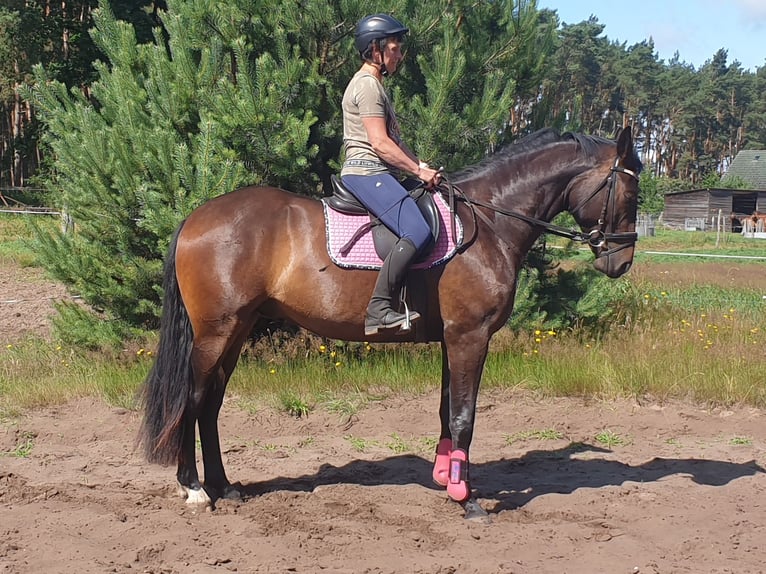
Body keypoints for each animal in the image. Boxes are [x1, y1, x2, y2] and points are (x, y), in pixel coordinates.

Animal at [138, 126, 641, 520]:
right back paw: (195, 489)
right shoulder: (470, 337)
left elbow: (446, 409)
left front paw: (445, 477)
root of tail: (195, 217)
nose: (622, 261)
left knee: (211, 405)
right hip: (217, 331)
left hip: (237, 330)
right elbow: (464, 415)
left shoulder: (452, 339)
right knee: (194, 399)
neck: (491, 219)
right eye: (632, 192)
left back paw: (224, 487)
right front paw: (467, 500)